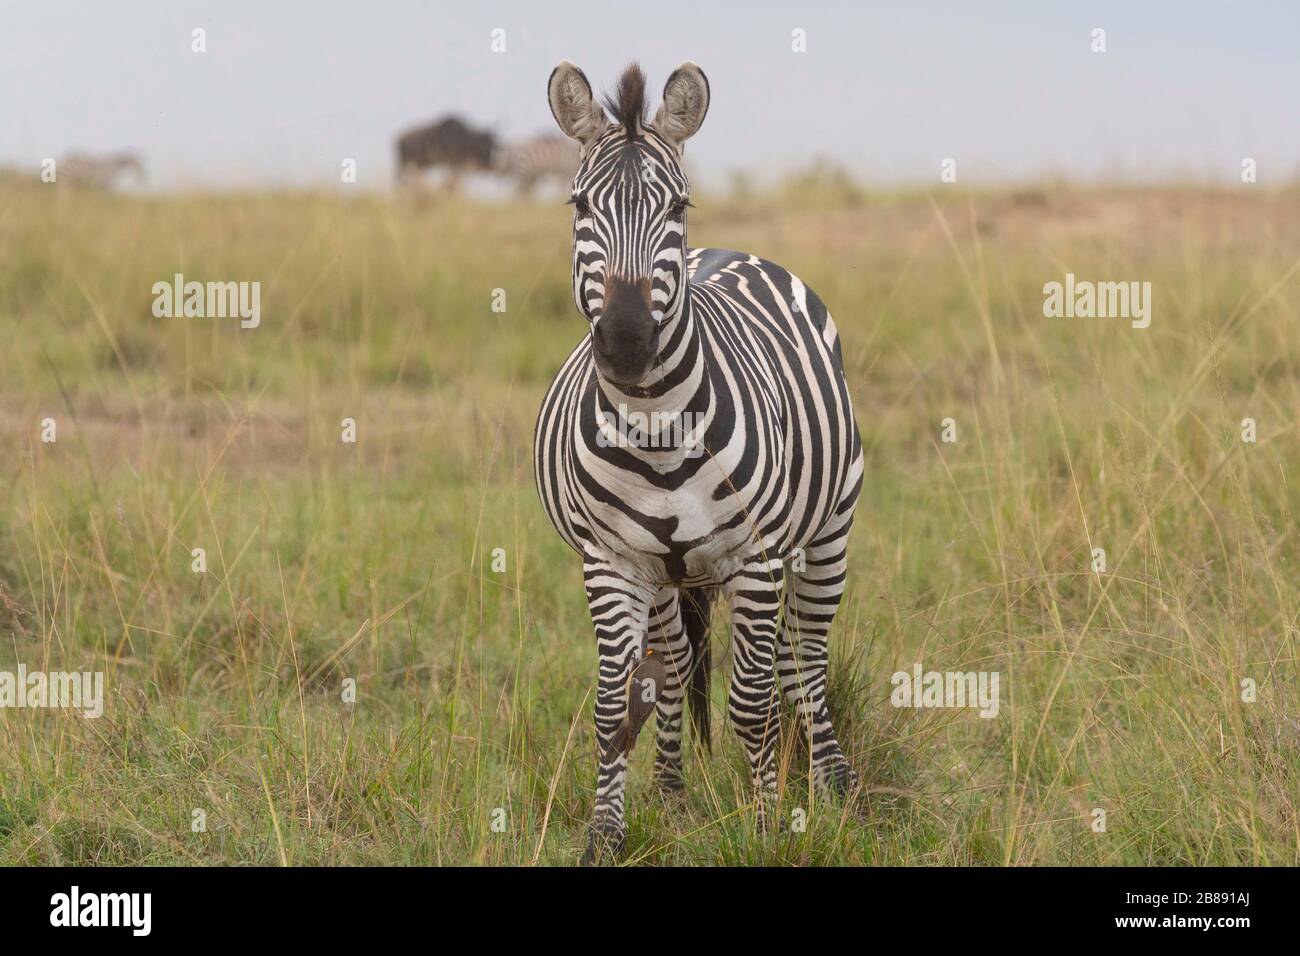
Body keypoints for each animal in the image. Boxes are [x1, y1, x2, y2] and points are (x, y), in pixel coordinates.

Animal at [534, 61, 864, 864]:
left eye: (678, 203)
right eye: (578, 204)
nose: (626, 341)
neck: (656, 426)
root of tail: (728, 251)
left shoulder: (756, 555)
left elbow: (751, 703)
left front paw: (767, 828)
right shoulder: (612, 561)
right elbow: (617, 703)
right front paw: (607, 835)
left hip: (827, 534)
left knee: (803, 660)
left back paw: (834, 788)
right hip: (666, 577)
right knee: (680, 666)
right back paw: (676, 796)